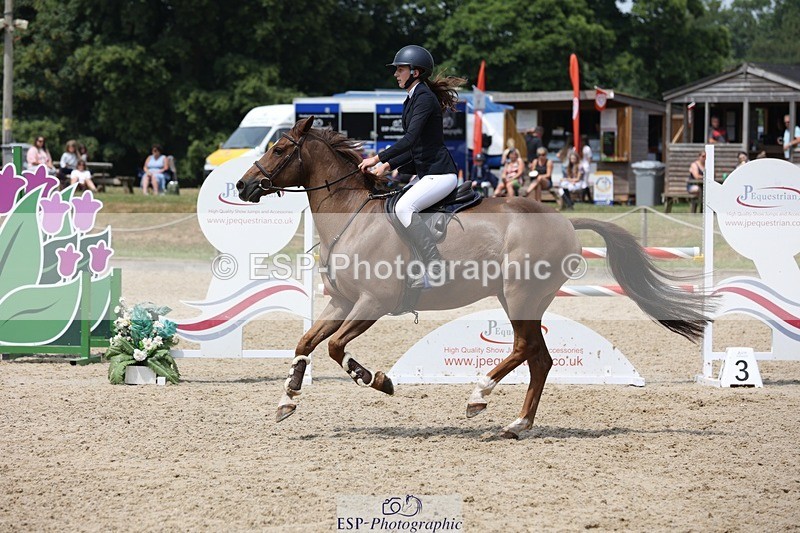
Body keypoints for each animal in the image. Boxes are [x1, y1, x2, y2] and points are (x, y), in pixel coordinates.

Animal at [236, 116, 711, 439]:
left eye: (278, 149)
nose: (243, 186)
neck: (353, 215)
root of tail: (566, 222)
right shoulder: (342, 302)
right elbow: (306, 342)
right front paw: (287, 399)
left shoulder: (372, 303)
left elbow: (336, 347)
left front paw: (379, 381)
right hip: (519, 300)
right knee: (539, 359)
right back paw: (517, 424)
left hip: (520, 297)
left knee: (524, 349)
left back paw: (479, 396)